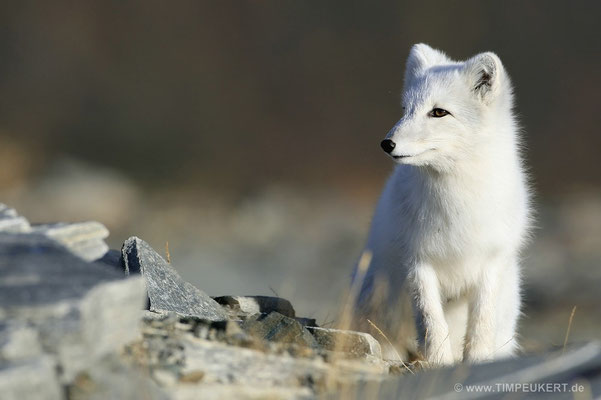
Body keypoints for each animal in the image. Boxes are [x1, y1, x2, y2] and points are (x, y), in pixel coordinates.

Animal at [352, 43, 528, 366]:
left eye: (438, 112)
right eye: (405, 110)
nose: (387, 143)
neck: (455, 199)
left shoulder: (492, 260)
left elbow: (482, 321)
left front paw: (478, 362)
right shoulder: (417, 261)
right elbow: (431, 319)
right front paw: (438, 362)